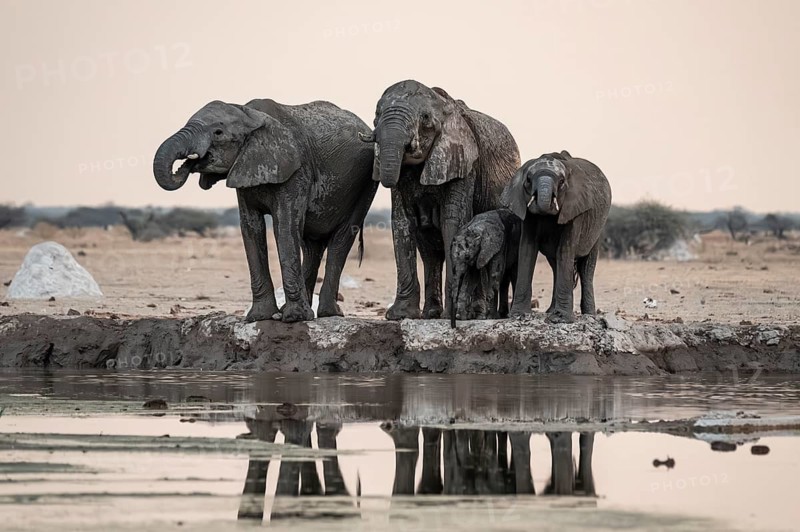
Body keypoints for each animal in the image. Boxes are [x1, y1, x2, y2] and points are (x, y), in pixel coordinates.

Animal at [153, 99, 377, 323]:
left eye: (218, 132)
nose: (186, 165)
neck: (250, 115)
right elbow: (251, 228)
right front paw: (260, 317)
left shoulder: (297, 171)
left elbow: (284, 226)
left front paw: (294, 318)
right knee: (311, 246)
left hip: (367, 181)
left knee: (342, 237)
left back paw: (328, 313)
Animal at [361, 80, 520, 320]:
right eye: (376, 115)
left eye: (426, 118)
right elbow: (402, 223)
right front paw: (400, 315)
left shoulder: (464, 162)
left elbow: (452, 221)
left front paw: (453, 315)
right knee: (429, 253)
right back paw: (431, 314)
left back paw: (477, 313)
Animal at [501, 151, 611, 323]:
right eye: (528, 179)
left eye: (561, 181)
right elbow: (527, 249)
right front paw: (518, 315)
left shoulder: (574, 209)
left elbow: (565, 250)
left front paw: (561, 319)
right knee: (555, 266)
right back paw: (551, 311)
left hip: (596, 229)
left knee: (586, 267)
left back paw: (589, 315)